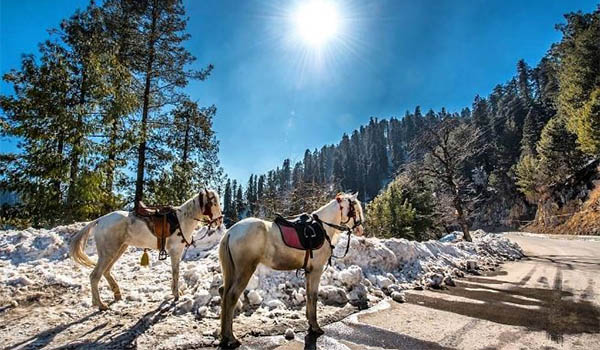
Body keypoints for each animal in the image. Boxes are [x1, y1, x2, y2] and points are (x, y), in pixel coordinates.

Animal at [68, 190, 223, 310]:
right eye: (214, 203)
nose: (220, 220)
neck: (181, 220)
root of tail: (100, 220)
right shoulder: (175, 251)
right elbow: (176, 273)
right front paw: (176, 294)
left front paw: (175, 291)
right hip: (108, 252)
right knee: (95, 276)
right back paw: (100, 304)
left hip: (119, 249)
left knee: (106, 272)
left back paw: (117, 294)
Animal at [218, 193, 364, 348]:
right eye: (355, 209)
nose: (360, 229)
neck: (323, 228)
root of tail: (231, 232)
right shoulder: (316, 270)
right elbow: (313, 296)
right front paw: (315, 326)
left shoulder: (309, 271)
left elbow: (309, 295)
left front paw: (310, 323)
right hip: (245, 270)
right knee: (232, 296)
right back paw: (232, 337)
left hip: (232, 271)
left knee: (224, 293)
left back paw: (224, 336)